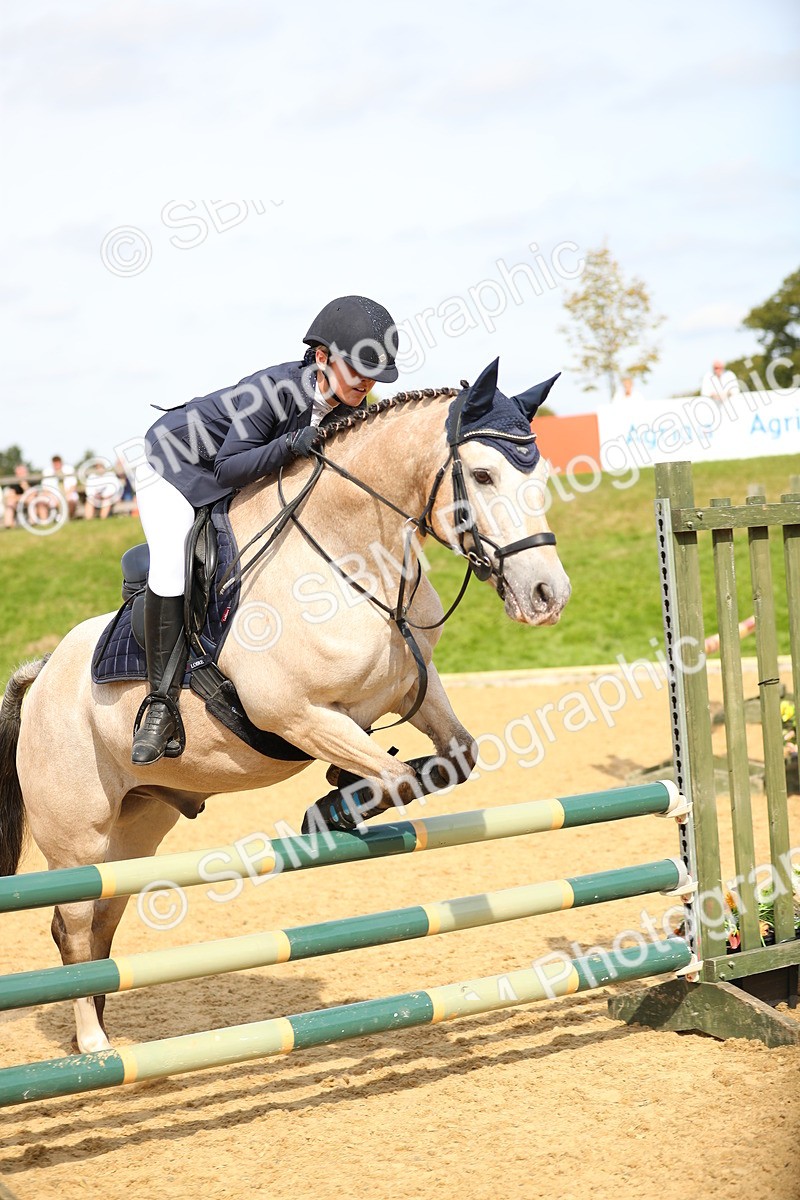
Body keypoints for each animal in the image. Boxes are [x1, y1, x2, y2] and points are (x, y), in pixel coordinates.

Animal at [0, 362, 570, 1053]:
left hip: (134, 831)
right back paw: (93, 1048)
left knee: (102, 924)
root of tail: (40, 674)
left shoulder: (416, 685)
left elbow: (452, 758)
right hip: (78, 840)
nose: (547, 595)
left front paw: (339, 795)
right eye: (483, 475)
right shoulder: (295, 715)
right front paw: (332, 807)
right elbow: (395, 771)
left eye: (540, 475)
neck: (355, 554)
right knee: (75, 926)